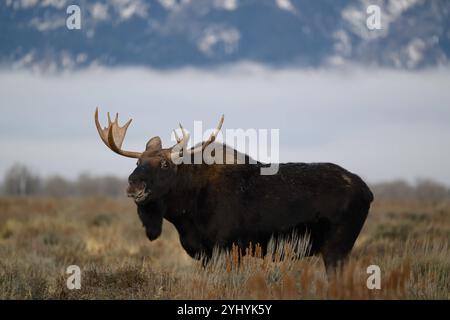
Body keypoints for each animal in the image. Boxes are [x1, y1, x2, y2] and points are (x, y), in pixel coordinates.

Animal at [94, 108, 372, 272]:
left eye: (164, 163)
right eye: (137, 162)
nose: (134, 185)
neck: (185, 212)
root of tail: (368, 192)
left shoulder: (227, 248)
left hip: (337, 247)